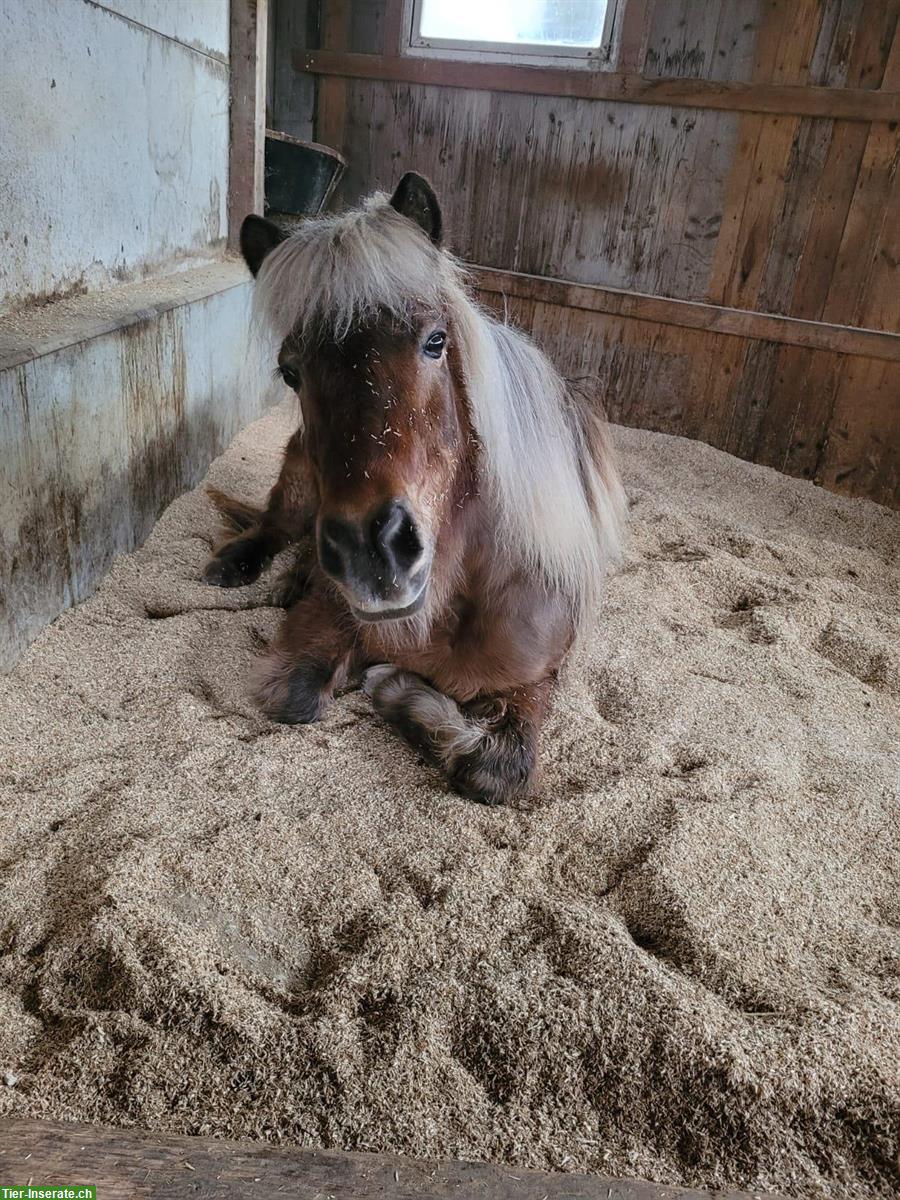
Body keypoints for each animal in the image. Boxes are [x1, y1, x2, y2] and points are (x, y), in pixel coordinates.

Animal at [204, 171, 628, 806]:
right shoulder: (324, 623)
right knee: (275, 523)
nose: (370, 551)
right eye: (290, 371)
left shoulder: (535, 681)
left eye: (435, 341)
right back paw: (240, 564)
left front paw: (390, 686)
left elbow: (494, 767)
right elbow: (296, 697)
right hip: (299, 480)